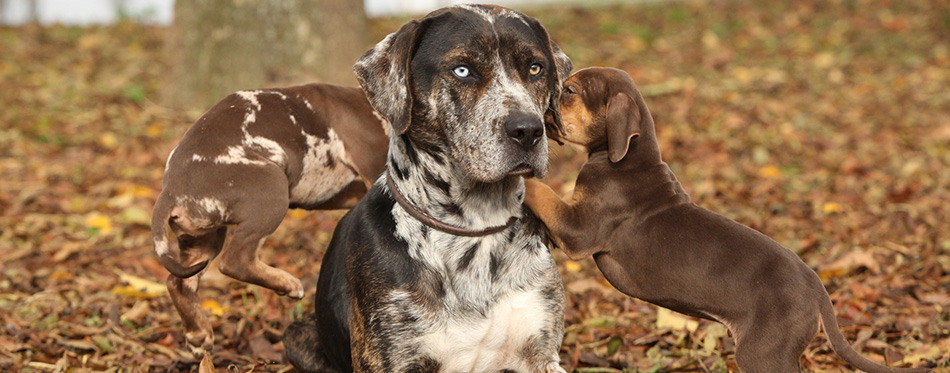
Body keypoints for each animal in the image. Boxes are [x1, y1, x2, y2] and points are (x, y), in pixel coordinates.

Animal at [151, 83, 388, 354]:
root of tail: (170, 190)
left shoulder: (334, 193)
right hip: (273, 192)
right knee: (235, 260)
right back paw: (287, 283)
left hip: (202, 240)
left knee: (178, 283)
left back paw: (198, 334)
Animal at [282, 5, 576, 372]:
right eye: (462, 70)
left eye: (535, 68)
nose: (528, 131)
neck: (476, 227)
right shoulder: (393, 358)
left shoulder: (540, 353)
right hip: (297, 335)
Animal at [524, 67, 932, 372]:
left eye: (570, 90)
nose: (541, 109)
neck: (626, 157)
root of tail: (818, 287)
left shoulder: (579, 228)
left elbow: (541, 191)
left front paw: (522, 179)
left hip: (762, 352)